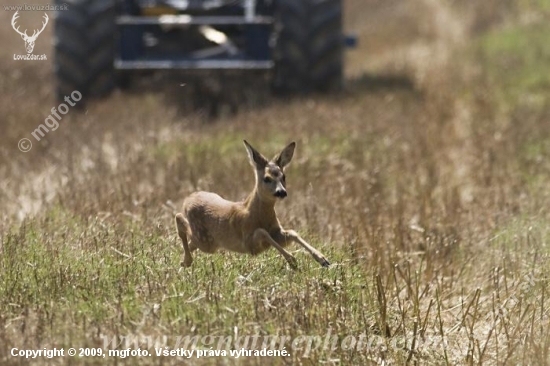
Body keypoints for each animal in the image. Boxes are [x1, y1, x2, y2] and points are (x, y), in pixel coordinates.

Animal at [178, 140, 332, 268]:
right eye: (267, 178)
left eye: (284, 176)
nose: (282, 192)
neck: (255, 214)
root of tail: (187, 199)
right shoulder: (248, 242)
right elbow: (261, 232)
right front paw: (292, 260)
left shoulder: (276, 232)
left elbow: (293, 233)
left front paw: (323, 259)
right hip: (205, 240)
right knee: (179, 218)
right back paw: (186, 260)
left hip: (207, 243)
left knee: (190, 242)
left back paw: (183, 262)